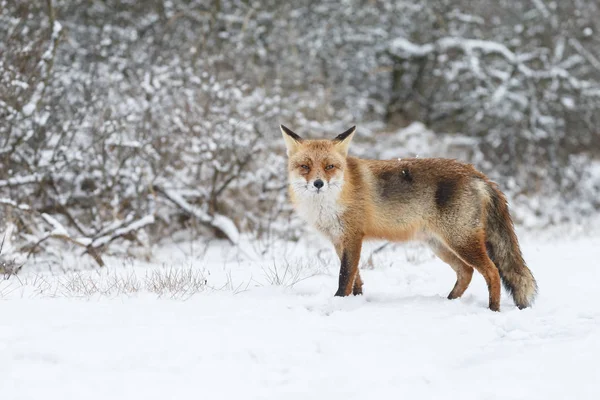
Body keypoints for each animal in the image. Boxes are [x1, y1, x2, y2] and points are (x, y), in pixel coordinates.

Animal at [282, 123, 540, 310]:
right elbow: (356, 278)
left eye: (329, 166)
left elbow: (345, 276)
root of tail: (478, 174)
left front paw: (338, 303)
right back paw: (449, 301)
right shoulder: (339, 240)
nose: (318, 184)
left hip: (461, 240)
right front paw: (356, 300)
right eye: (305, 166)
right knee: (466, 272)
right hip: (439, 244)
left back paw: (493, 308)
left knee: (492, 272)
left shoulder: (353, 236)